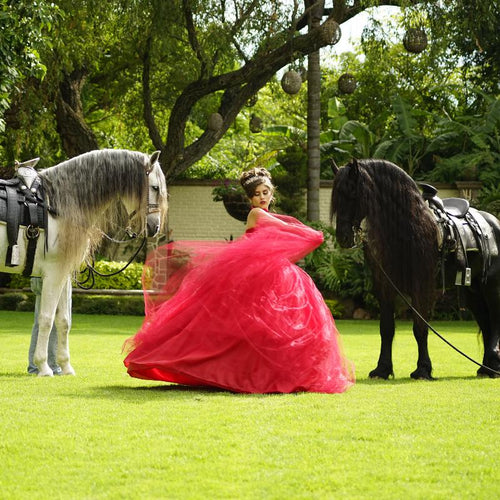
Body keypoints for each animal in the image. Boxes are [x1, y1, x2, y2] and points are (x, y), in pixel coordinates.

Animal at [0, 148, 168, 376]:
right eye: (155, 187)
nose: (155, 227)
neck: (57, 203)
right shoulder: (53, 274)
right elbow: (46, 319)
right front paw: (44, 367)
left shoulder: (62, 275)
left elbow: (63, 321)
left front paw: (65, 366)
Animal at [332, 159, 500, 378]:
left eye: (352, 192)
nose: (343, 237)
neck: (406, 227)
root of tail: (494, 223)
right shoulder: (384, 286)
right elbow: (386, 328)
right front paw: (382, 368)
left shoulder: (421, 285)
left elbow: (420, 328)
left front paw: (423, 369)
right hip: (474, 291)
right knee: (486, 323)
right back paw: (486, 368)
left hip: (492, 286)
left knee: (495, 319)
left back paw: (494, 363)